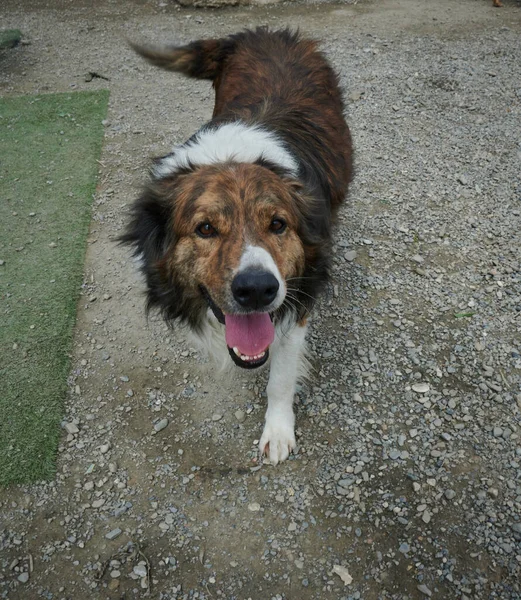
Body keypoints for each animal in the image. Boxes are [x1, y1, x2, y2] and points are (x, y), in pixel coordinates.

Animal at [120, 28, 352, 466]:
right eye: (206, 228)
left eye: (278, 224)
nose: (257, 289)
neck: (230, 157)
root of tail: (266, 32)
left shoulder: (296, 302)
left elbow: (280, 378)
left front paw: (277, 431)